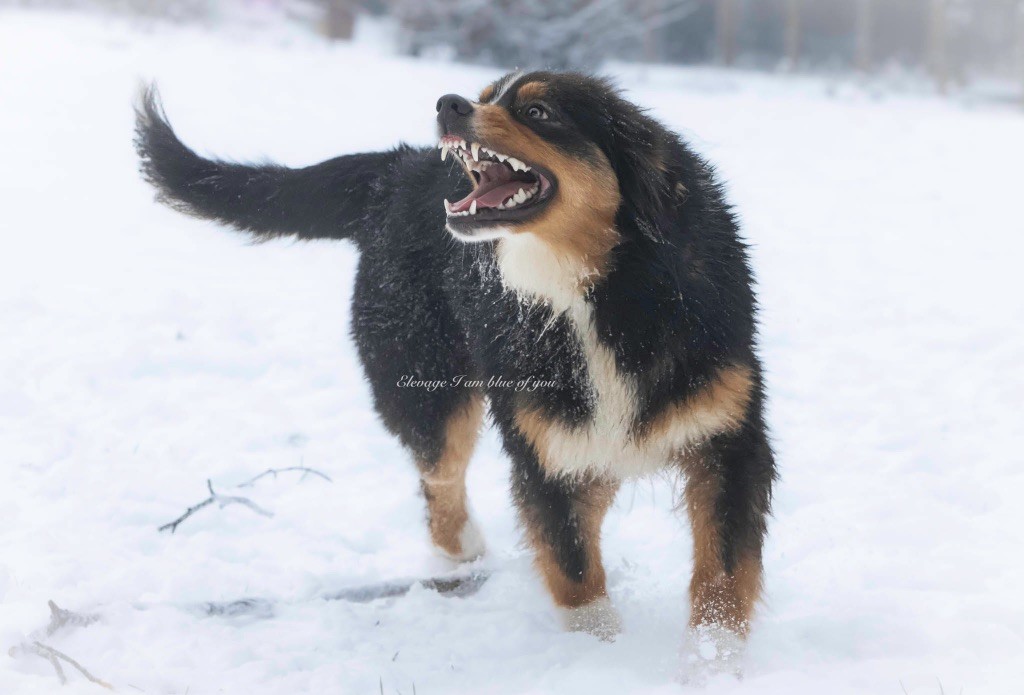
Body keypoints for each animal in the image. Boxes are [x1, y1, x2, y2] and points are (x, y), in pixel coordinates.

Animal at [136, 70, 774, 646]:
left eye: (539, 111)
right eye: (487, 93)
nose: (448, 103)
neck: (593, 288)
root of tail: (396, 171)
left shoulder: (726, 441)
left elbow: (722, 579)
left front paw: (711, 665)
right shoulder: (545, 454)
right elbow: (576, 576)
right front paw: (601, 657)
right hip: (427, 389)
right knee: (439, 485)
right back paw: (466, 557)